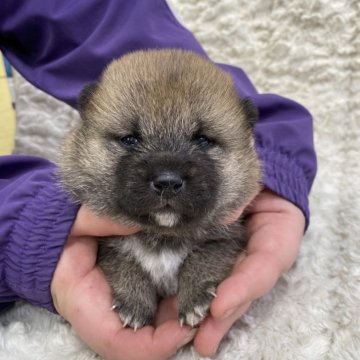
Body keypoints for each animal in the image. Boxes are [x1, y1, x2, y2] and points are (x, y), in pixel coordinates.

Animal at [59, 49, 262, 330]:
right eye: (130, 139)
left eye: (203, 140)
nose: (168, 182)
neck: (162, 235)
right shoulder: (105, 242)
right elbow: (124, 263)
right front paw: (134, 303)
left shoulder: (226, 237)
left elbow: (202, 259)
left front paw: (194, 300)